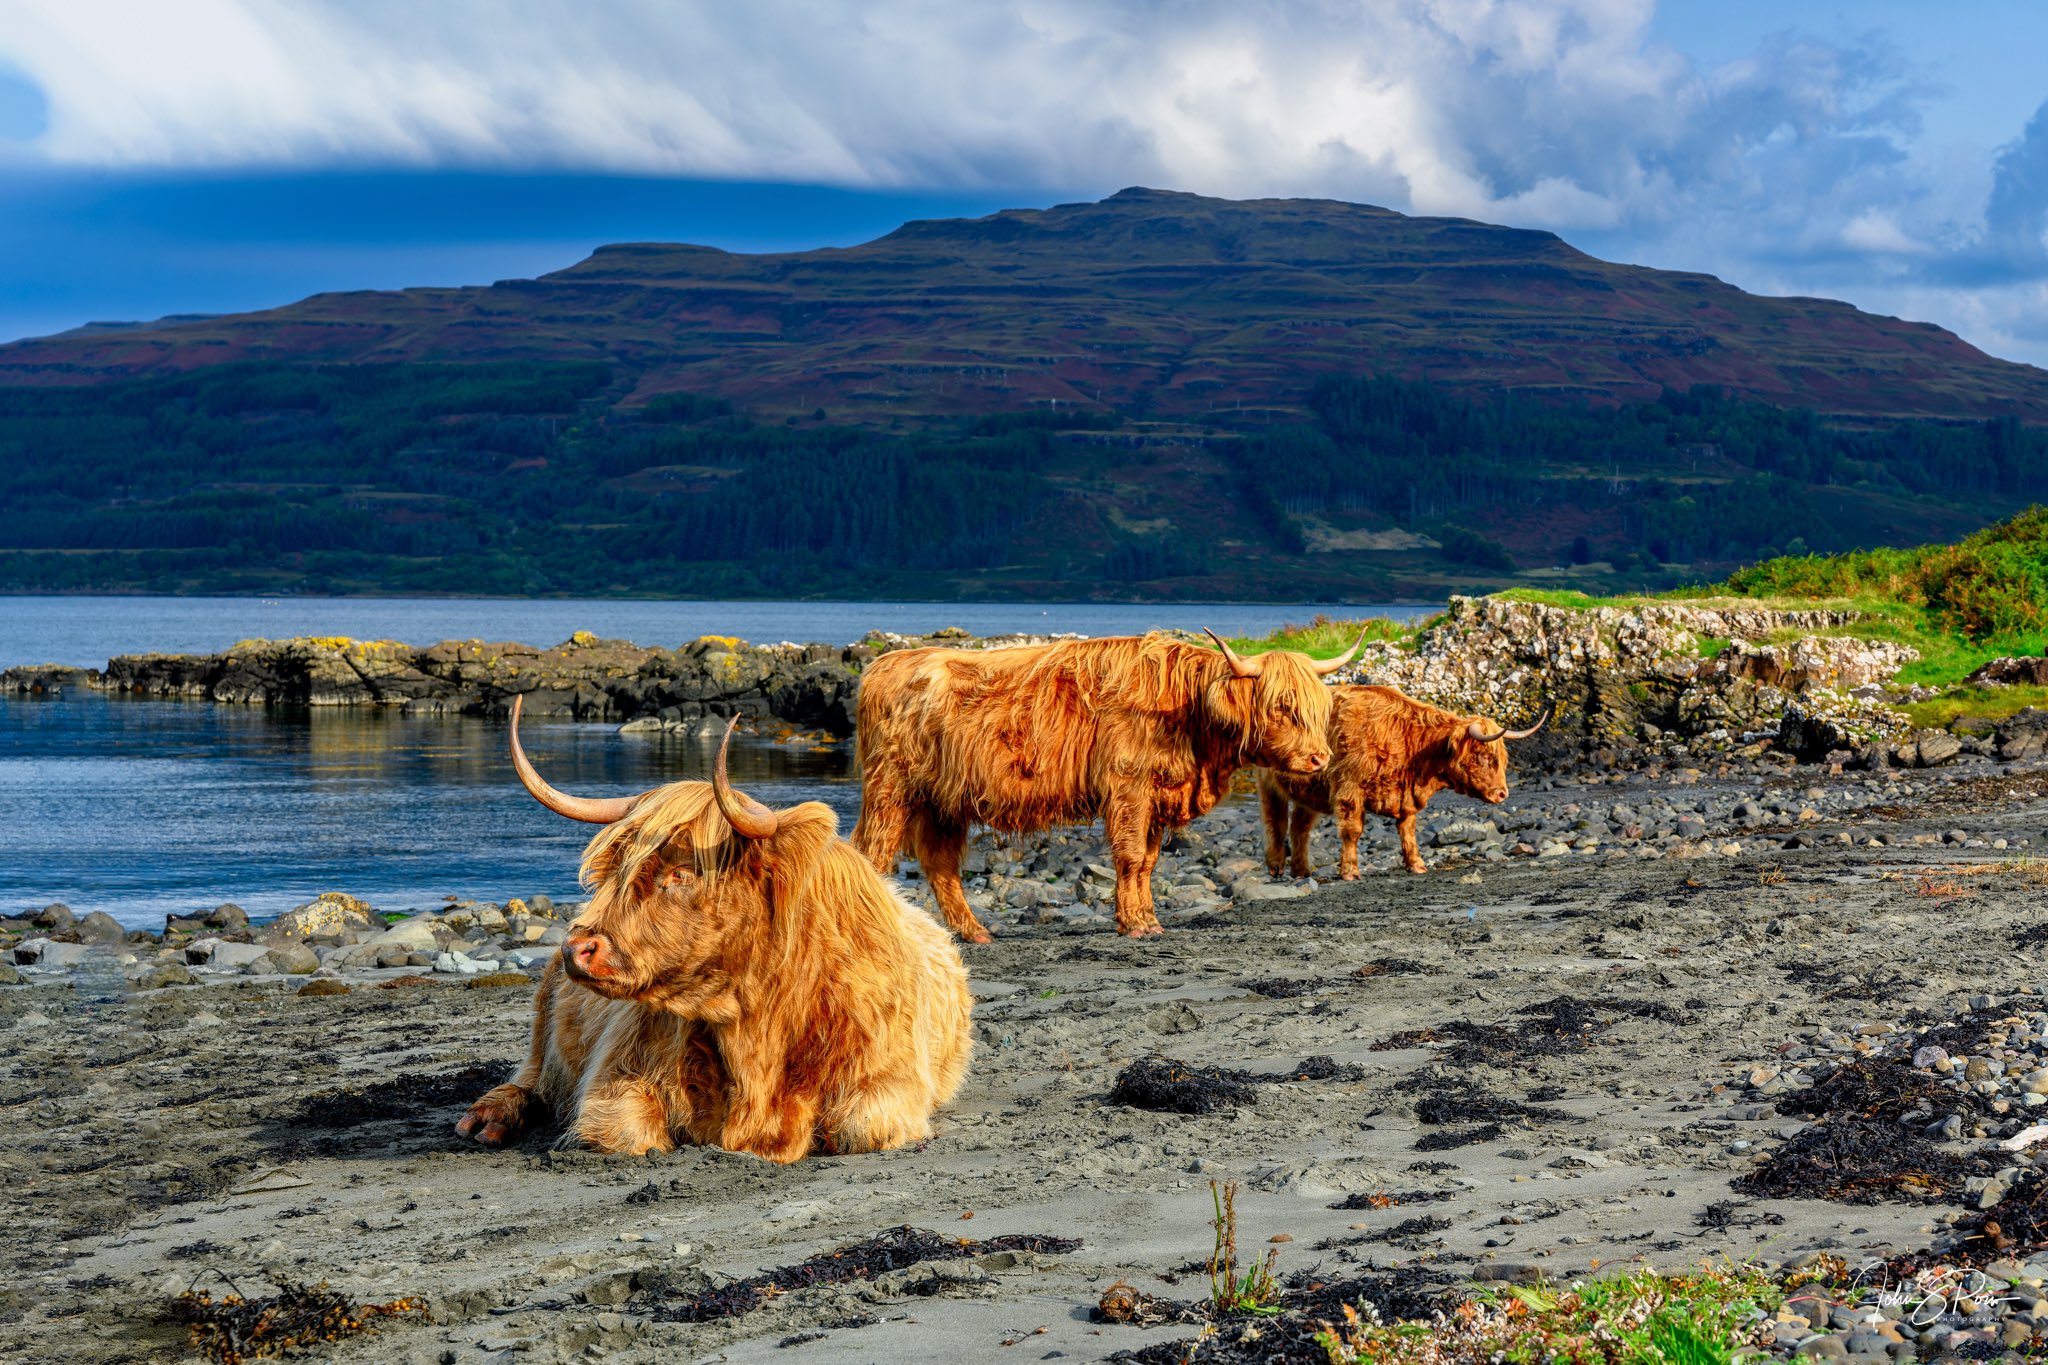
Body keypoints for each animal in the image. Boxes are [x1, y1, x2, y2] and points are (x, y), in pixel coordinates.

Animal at [460, 699, 970, 1162]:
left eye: (682, 872)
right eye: (619, 866)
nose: (577, 948)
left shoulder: (891, 1076)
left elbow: (862, 1127)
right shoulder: (616, 1073)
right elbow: (625, 1133)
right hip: (544, 1023)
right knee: (530, 1075)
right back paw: (487, 1120)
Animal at [847, 630, 1359, 941]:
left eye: (1317, 707)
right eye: (1281, 706)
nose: (1319, 757)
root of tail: (884, 664)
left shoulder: (1157, 794)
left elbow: (1148, 862)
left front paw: (1148, 917)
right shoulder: (1128, 788)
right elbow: (1129, 857)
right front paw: (1133, 923)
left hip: (942, 802)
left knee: (941, 866)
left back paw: (975, 933)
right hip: (890, 790)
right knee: (874, 854)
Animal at [1245, 687, 1548, 879]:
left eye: (1503, 759)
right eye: (1483, 756)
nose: (1502, 794)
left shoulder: (1407, 797)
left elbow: (1408, 830)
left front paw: (1416, 864)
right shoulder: (1348, 788)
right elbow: (1352, 831)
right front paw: (1350, 871)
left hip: (1310, 793)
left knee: (1299, 828)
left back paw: (1301, 871)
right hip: (1269, 784)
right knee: (1275, 823)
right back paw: (1276, 867)